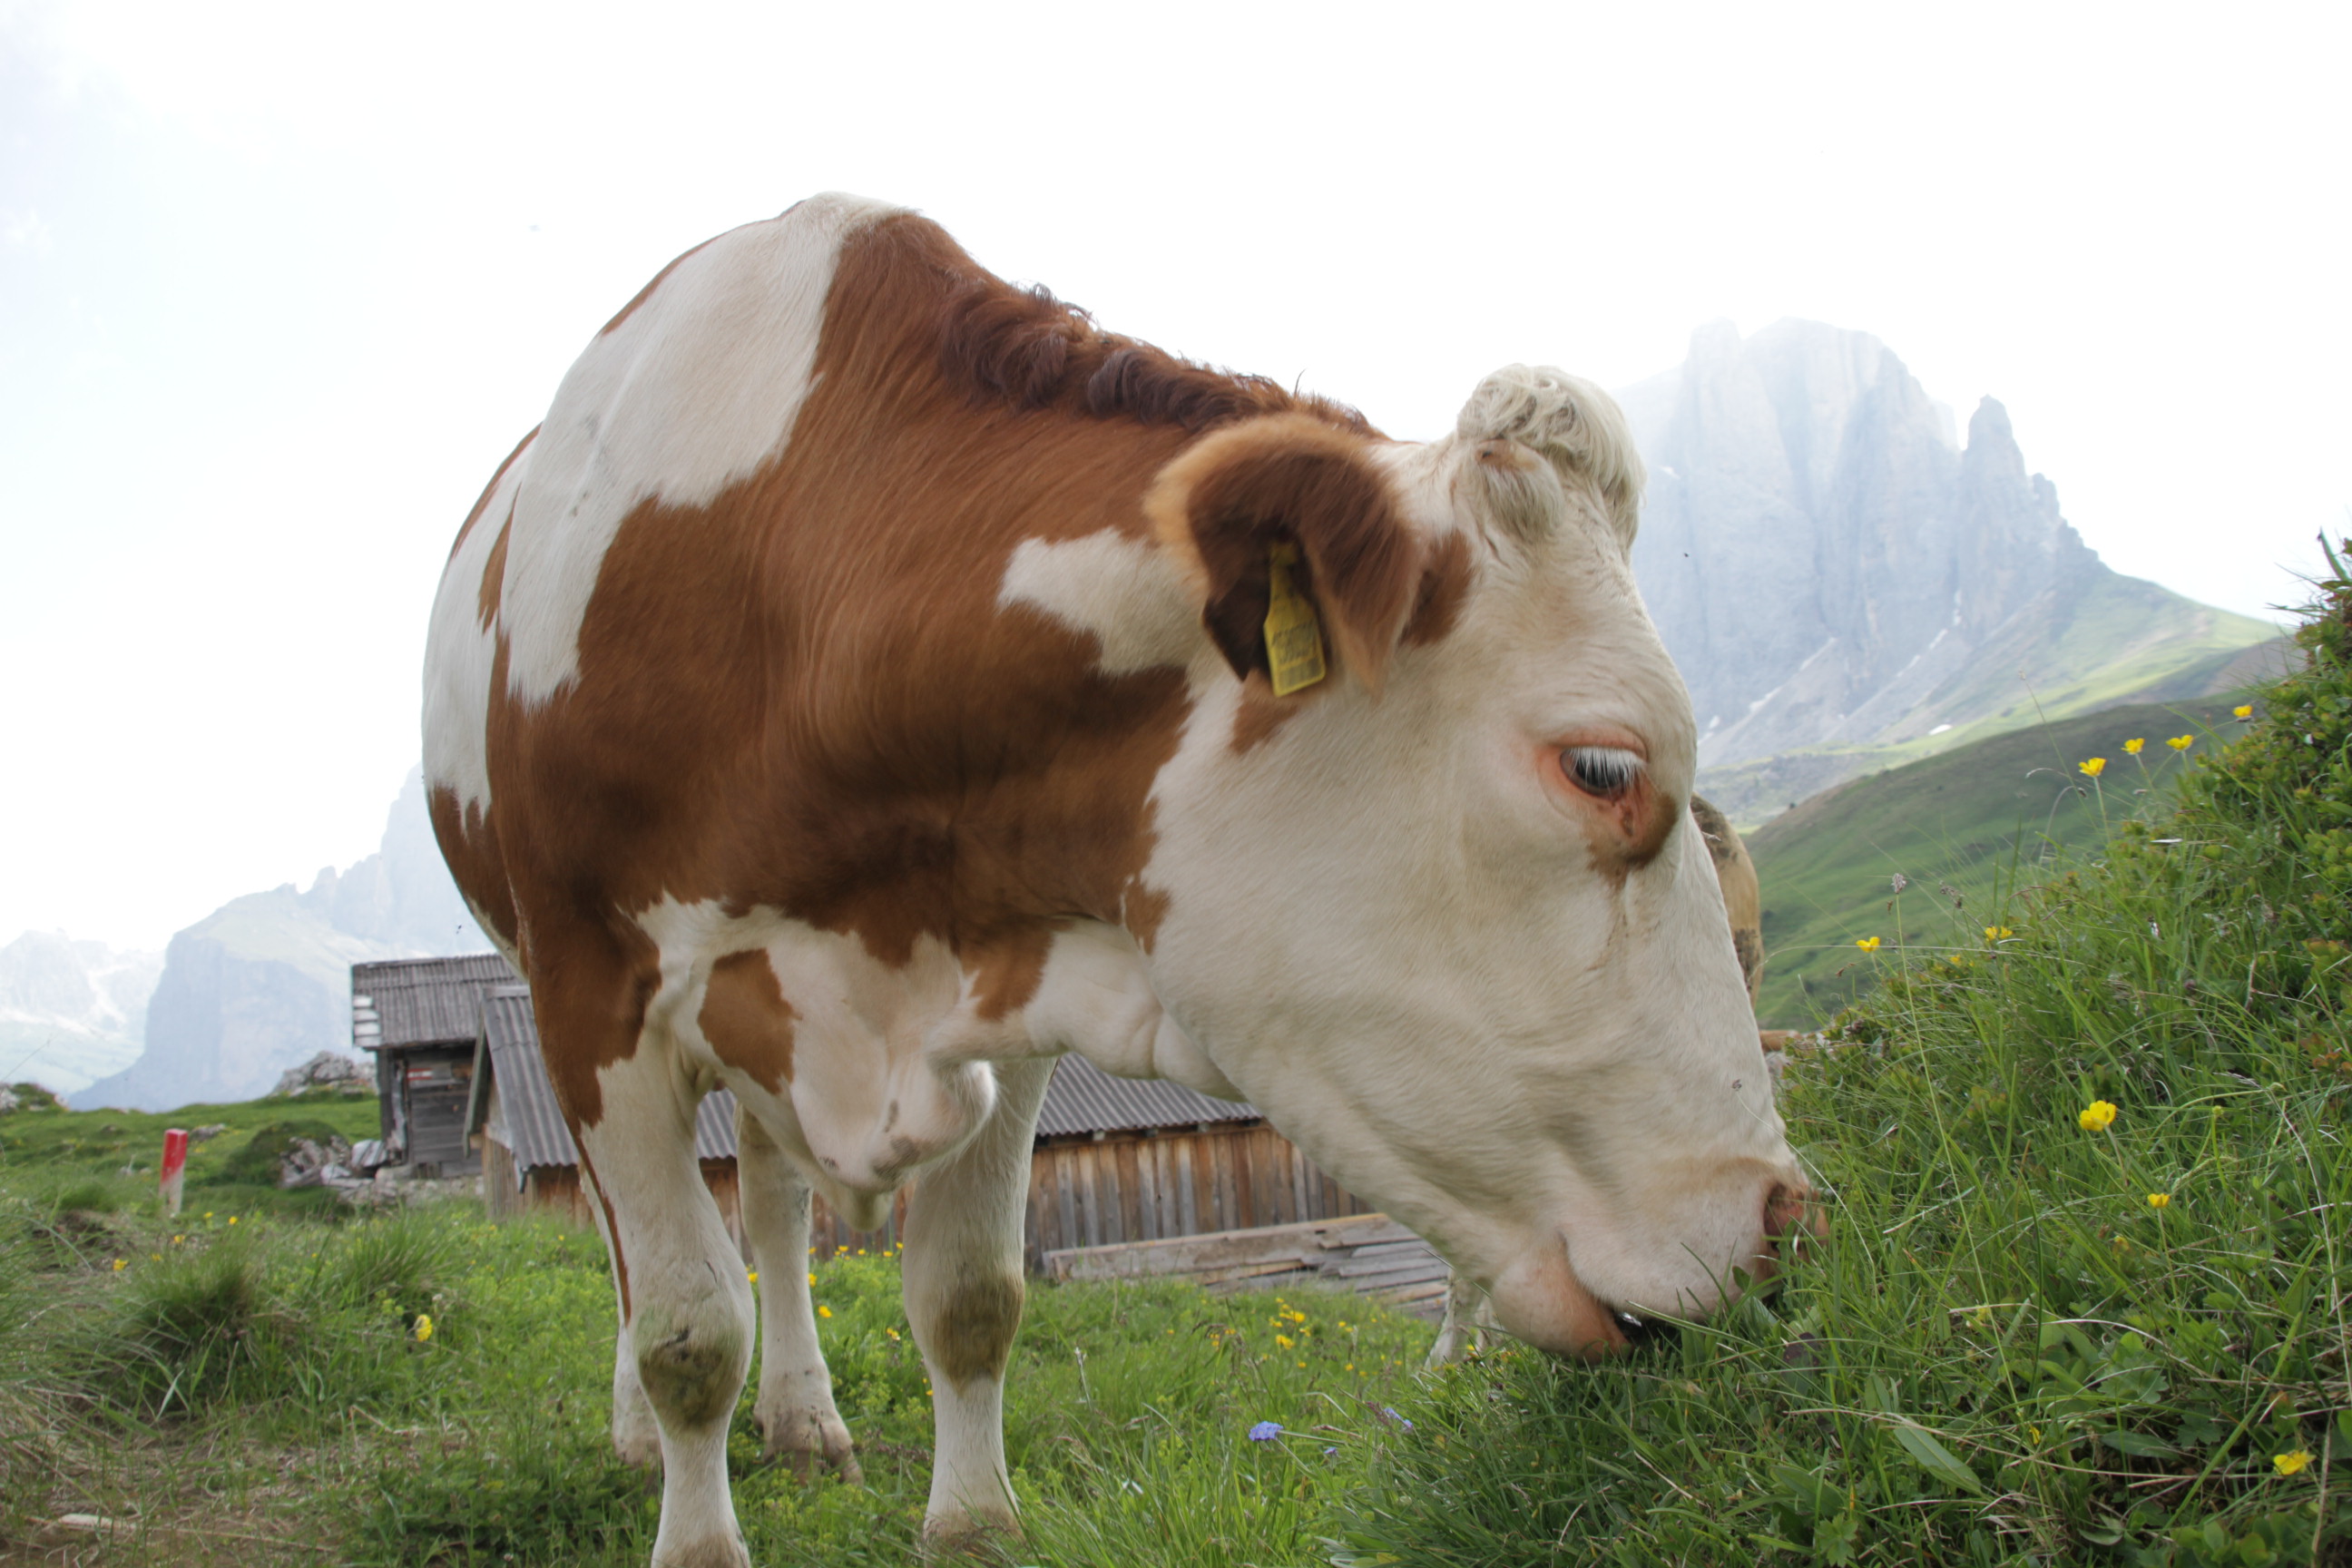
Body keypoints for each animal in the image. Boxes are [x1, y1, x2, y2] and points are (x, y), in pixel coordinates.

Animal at [423, 196, 1806, 1568]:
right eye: (1601, 768)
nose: (1789, 1220)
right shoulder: (593, 1002)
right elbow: (686, 1330)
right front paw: (697, 1527)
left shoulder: (1007, 966)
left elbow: (969, 1295)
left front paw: (973, 1527)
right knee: (655, 1274)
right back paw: (647, 1439)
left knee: (770, 1202)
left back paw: (806, 1421)